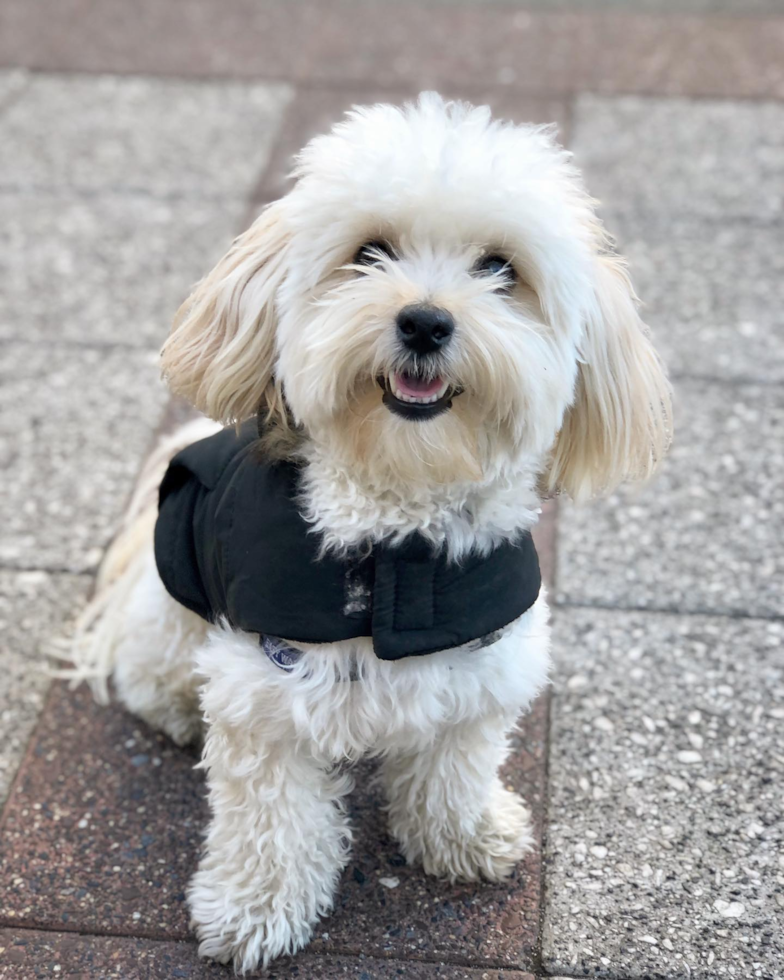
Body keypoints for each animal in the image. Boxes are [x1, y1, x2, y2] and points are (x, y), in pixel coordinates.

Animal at [64, 94, 672, 972]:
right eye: (370, 253)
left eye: (501, 269)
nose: (424, 321)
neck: (398, 537)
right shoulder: (266, 693)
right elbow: (272, 822)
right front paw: (255, 909)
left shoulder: (482, 666)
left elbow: (455, 767)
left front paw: (464, 836)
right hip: (170, 613)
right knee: (148, 675)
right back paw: (175, 708)